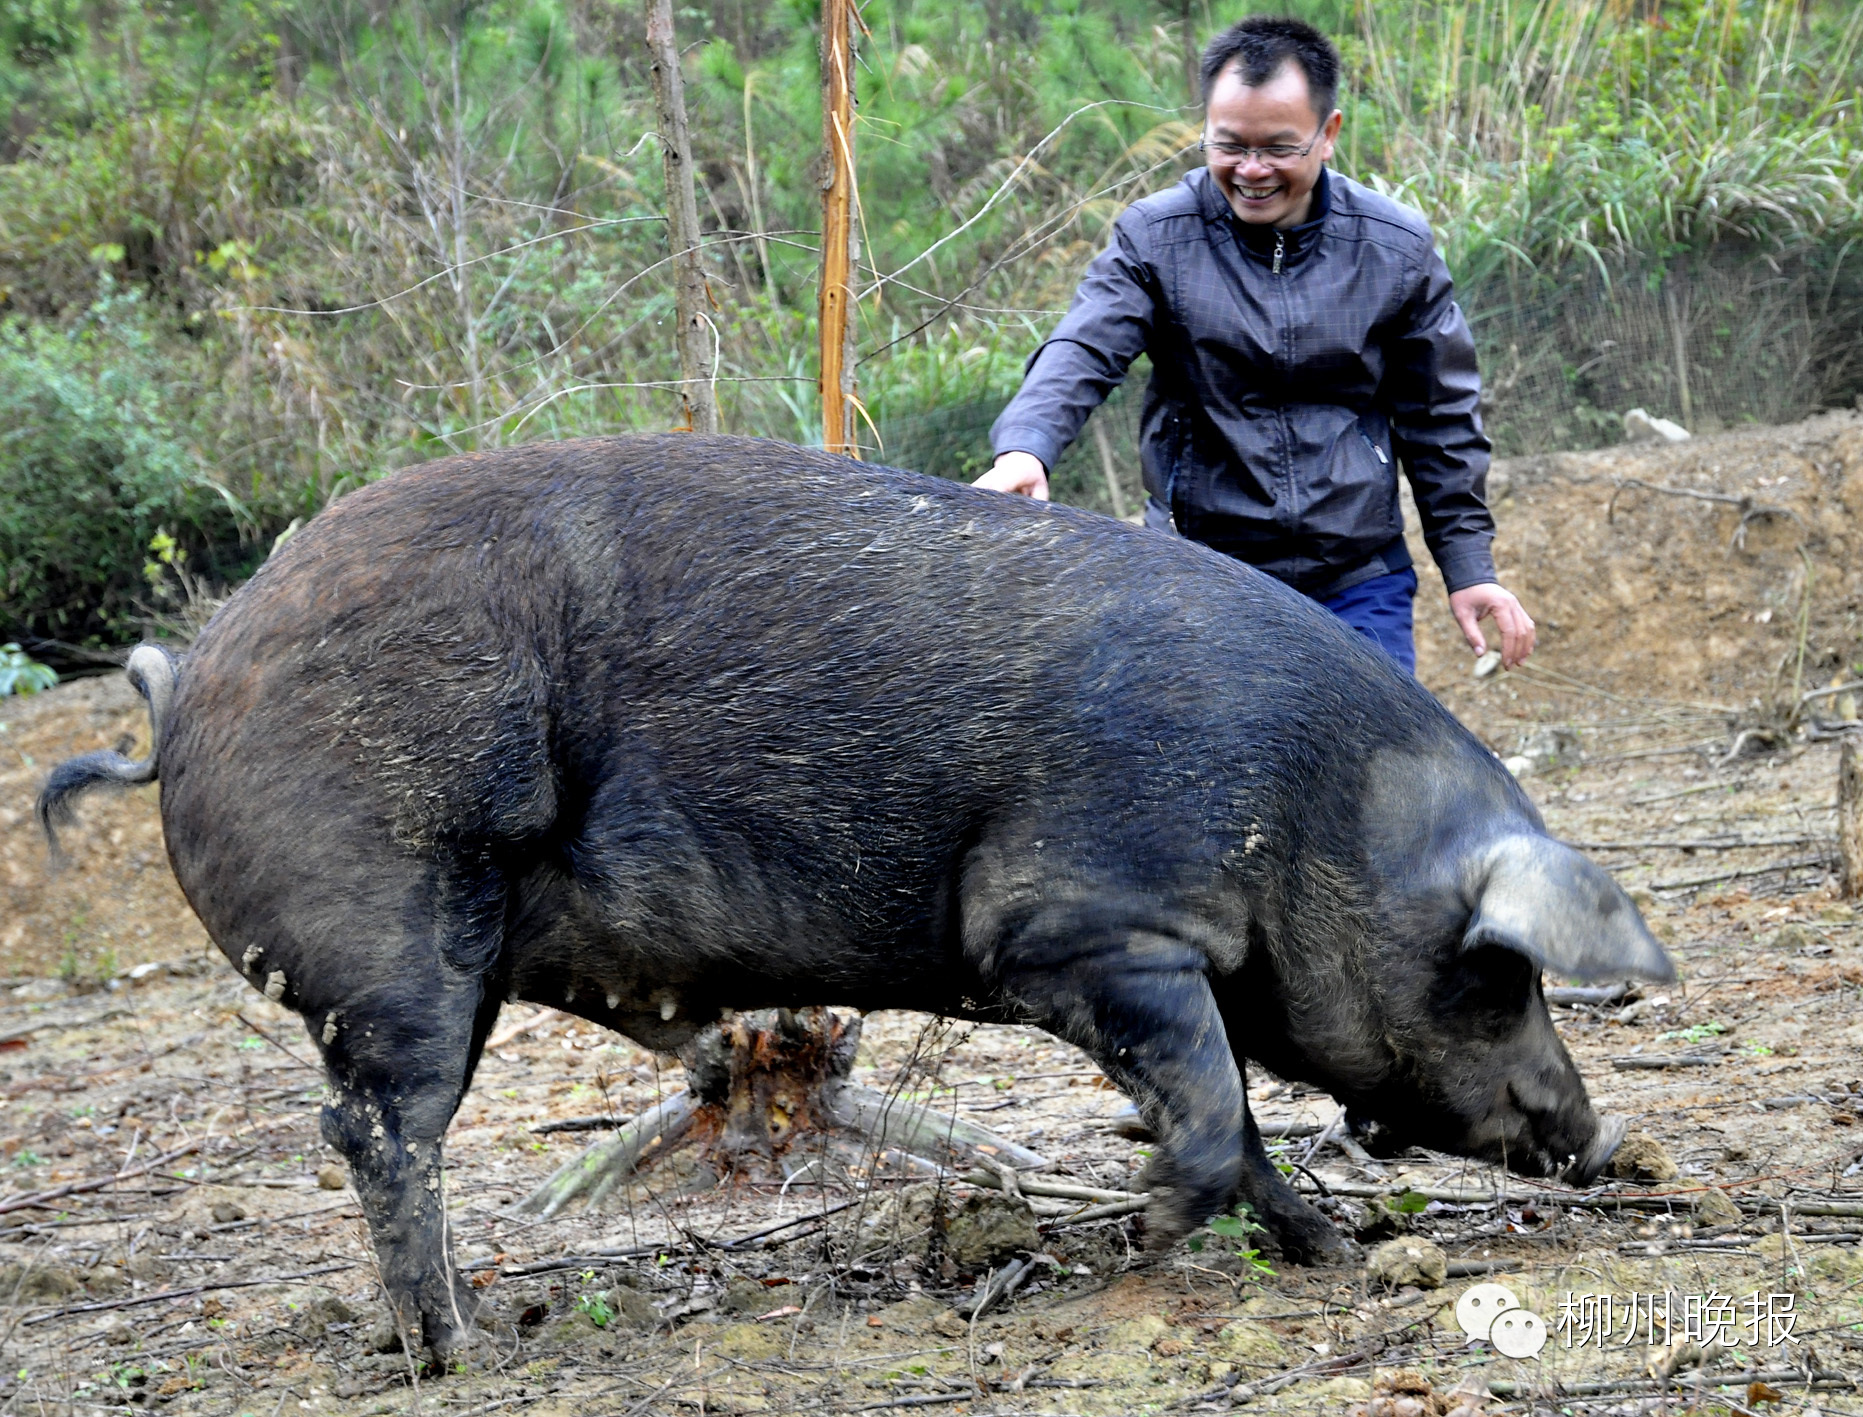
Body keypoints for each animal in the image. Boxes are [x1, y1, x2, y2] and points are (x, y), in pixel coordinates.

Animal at [40, 433, 1676, 1363]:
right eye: (1498, 971)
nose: (1599, 1137)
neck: (1313, 805)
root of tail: (184, 682)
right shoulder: (1079, 925)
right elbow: (1210, 1110)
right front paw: (1145, 1240)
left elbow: (1234, 1121)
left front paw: (1335, 1253)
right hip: (388, 936)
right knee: (377, 1132)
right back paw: (466, 1350)